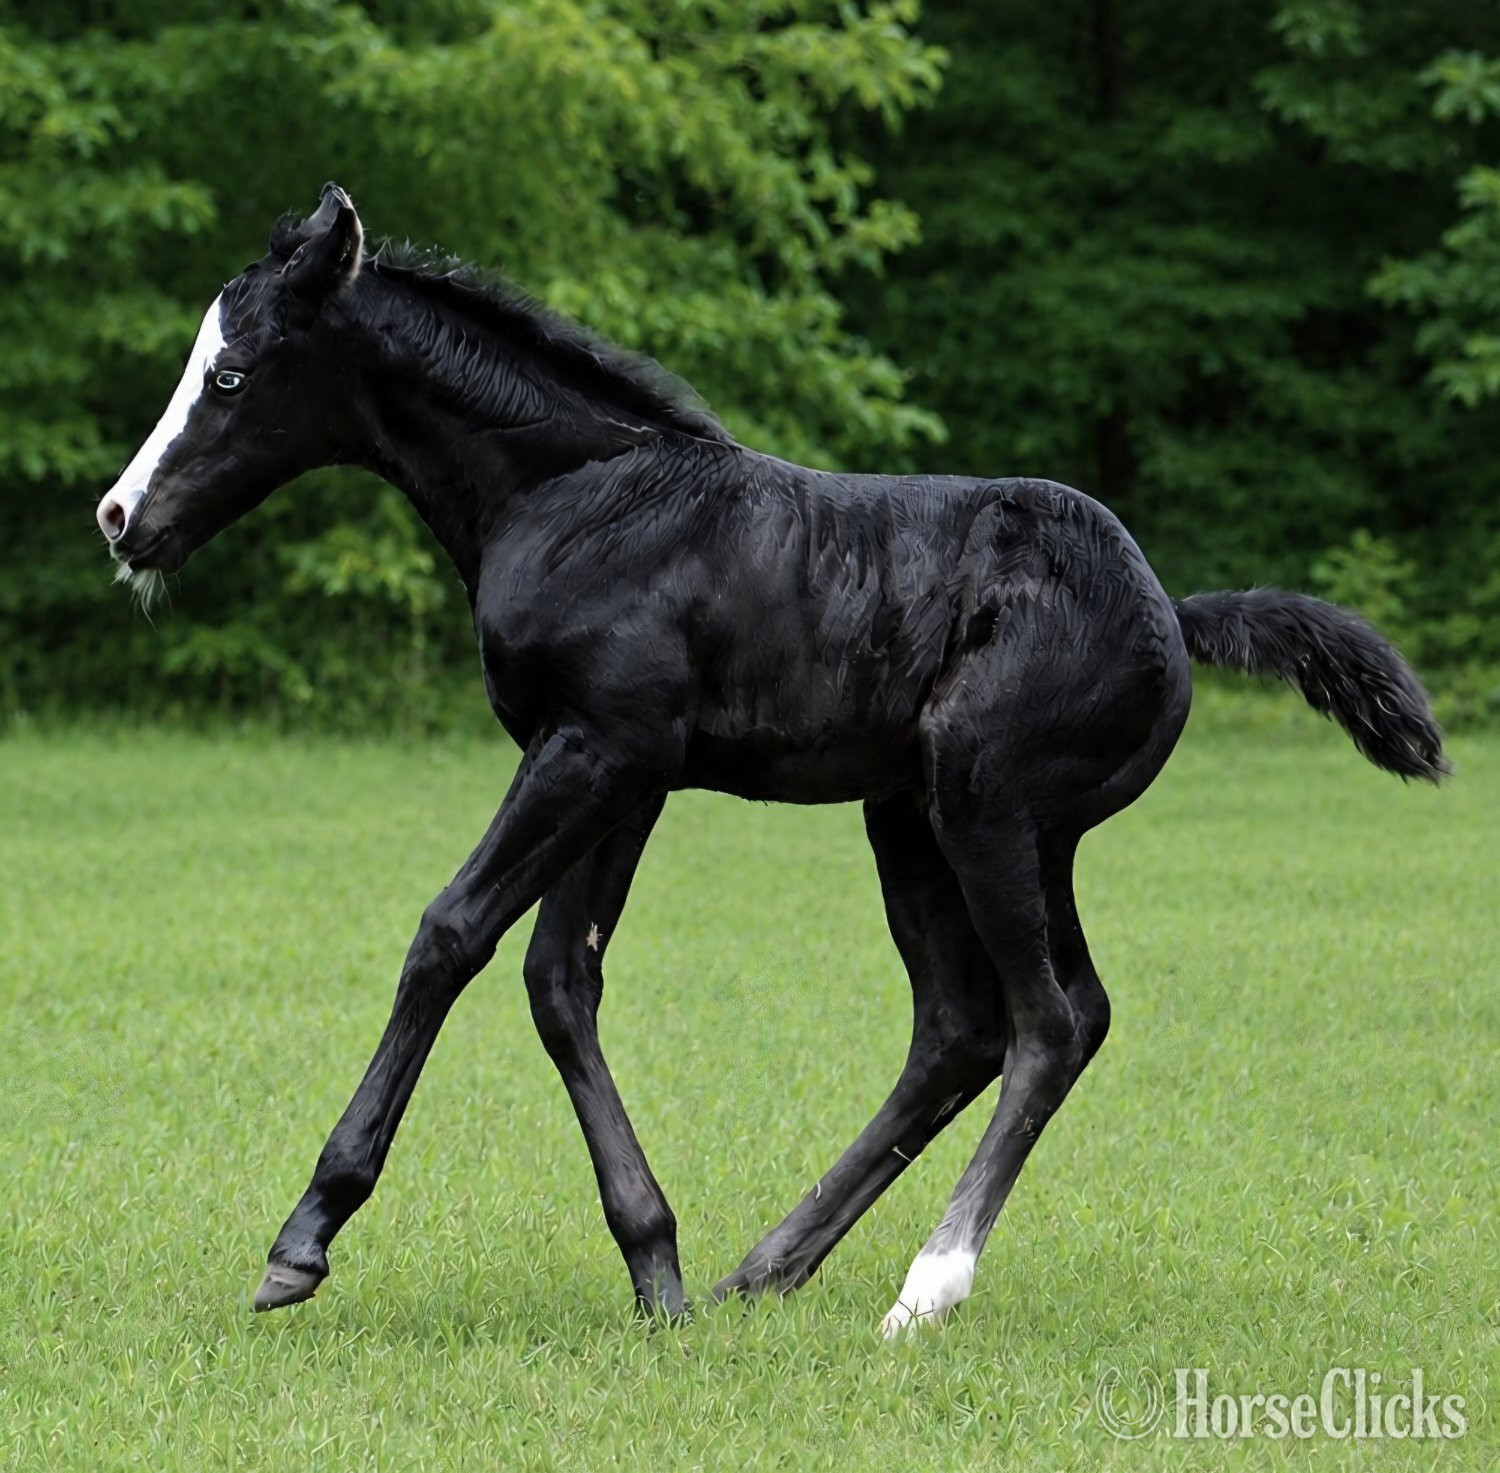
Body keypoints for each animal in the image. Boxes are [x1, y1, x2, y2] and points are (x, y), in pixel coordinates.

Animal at [96, 184, 1446, 1335]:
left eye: (230, 373)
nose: (120, 519)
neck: (574, 496)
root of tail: (1172, 608)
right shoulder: (621, 771)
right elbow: (559, 981)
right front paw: (656, 1266)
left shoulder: (592, 750)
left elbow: (451, 936)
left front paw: (304, 1239)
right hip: (922, 821)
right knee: (971, 1026)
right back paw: (768, 1266)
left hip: (988, 808)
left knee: (1049, 1021)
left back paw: (926, 1289)